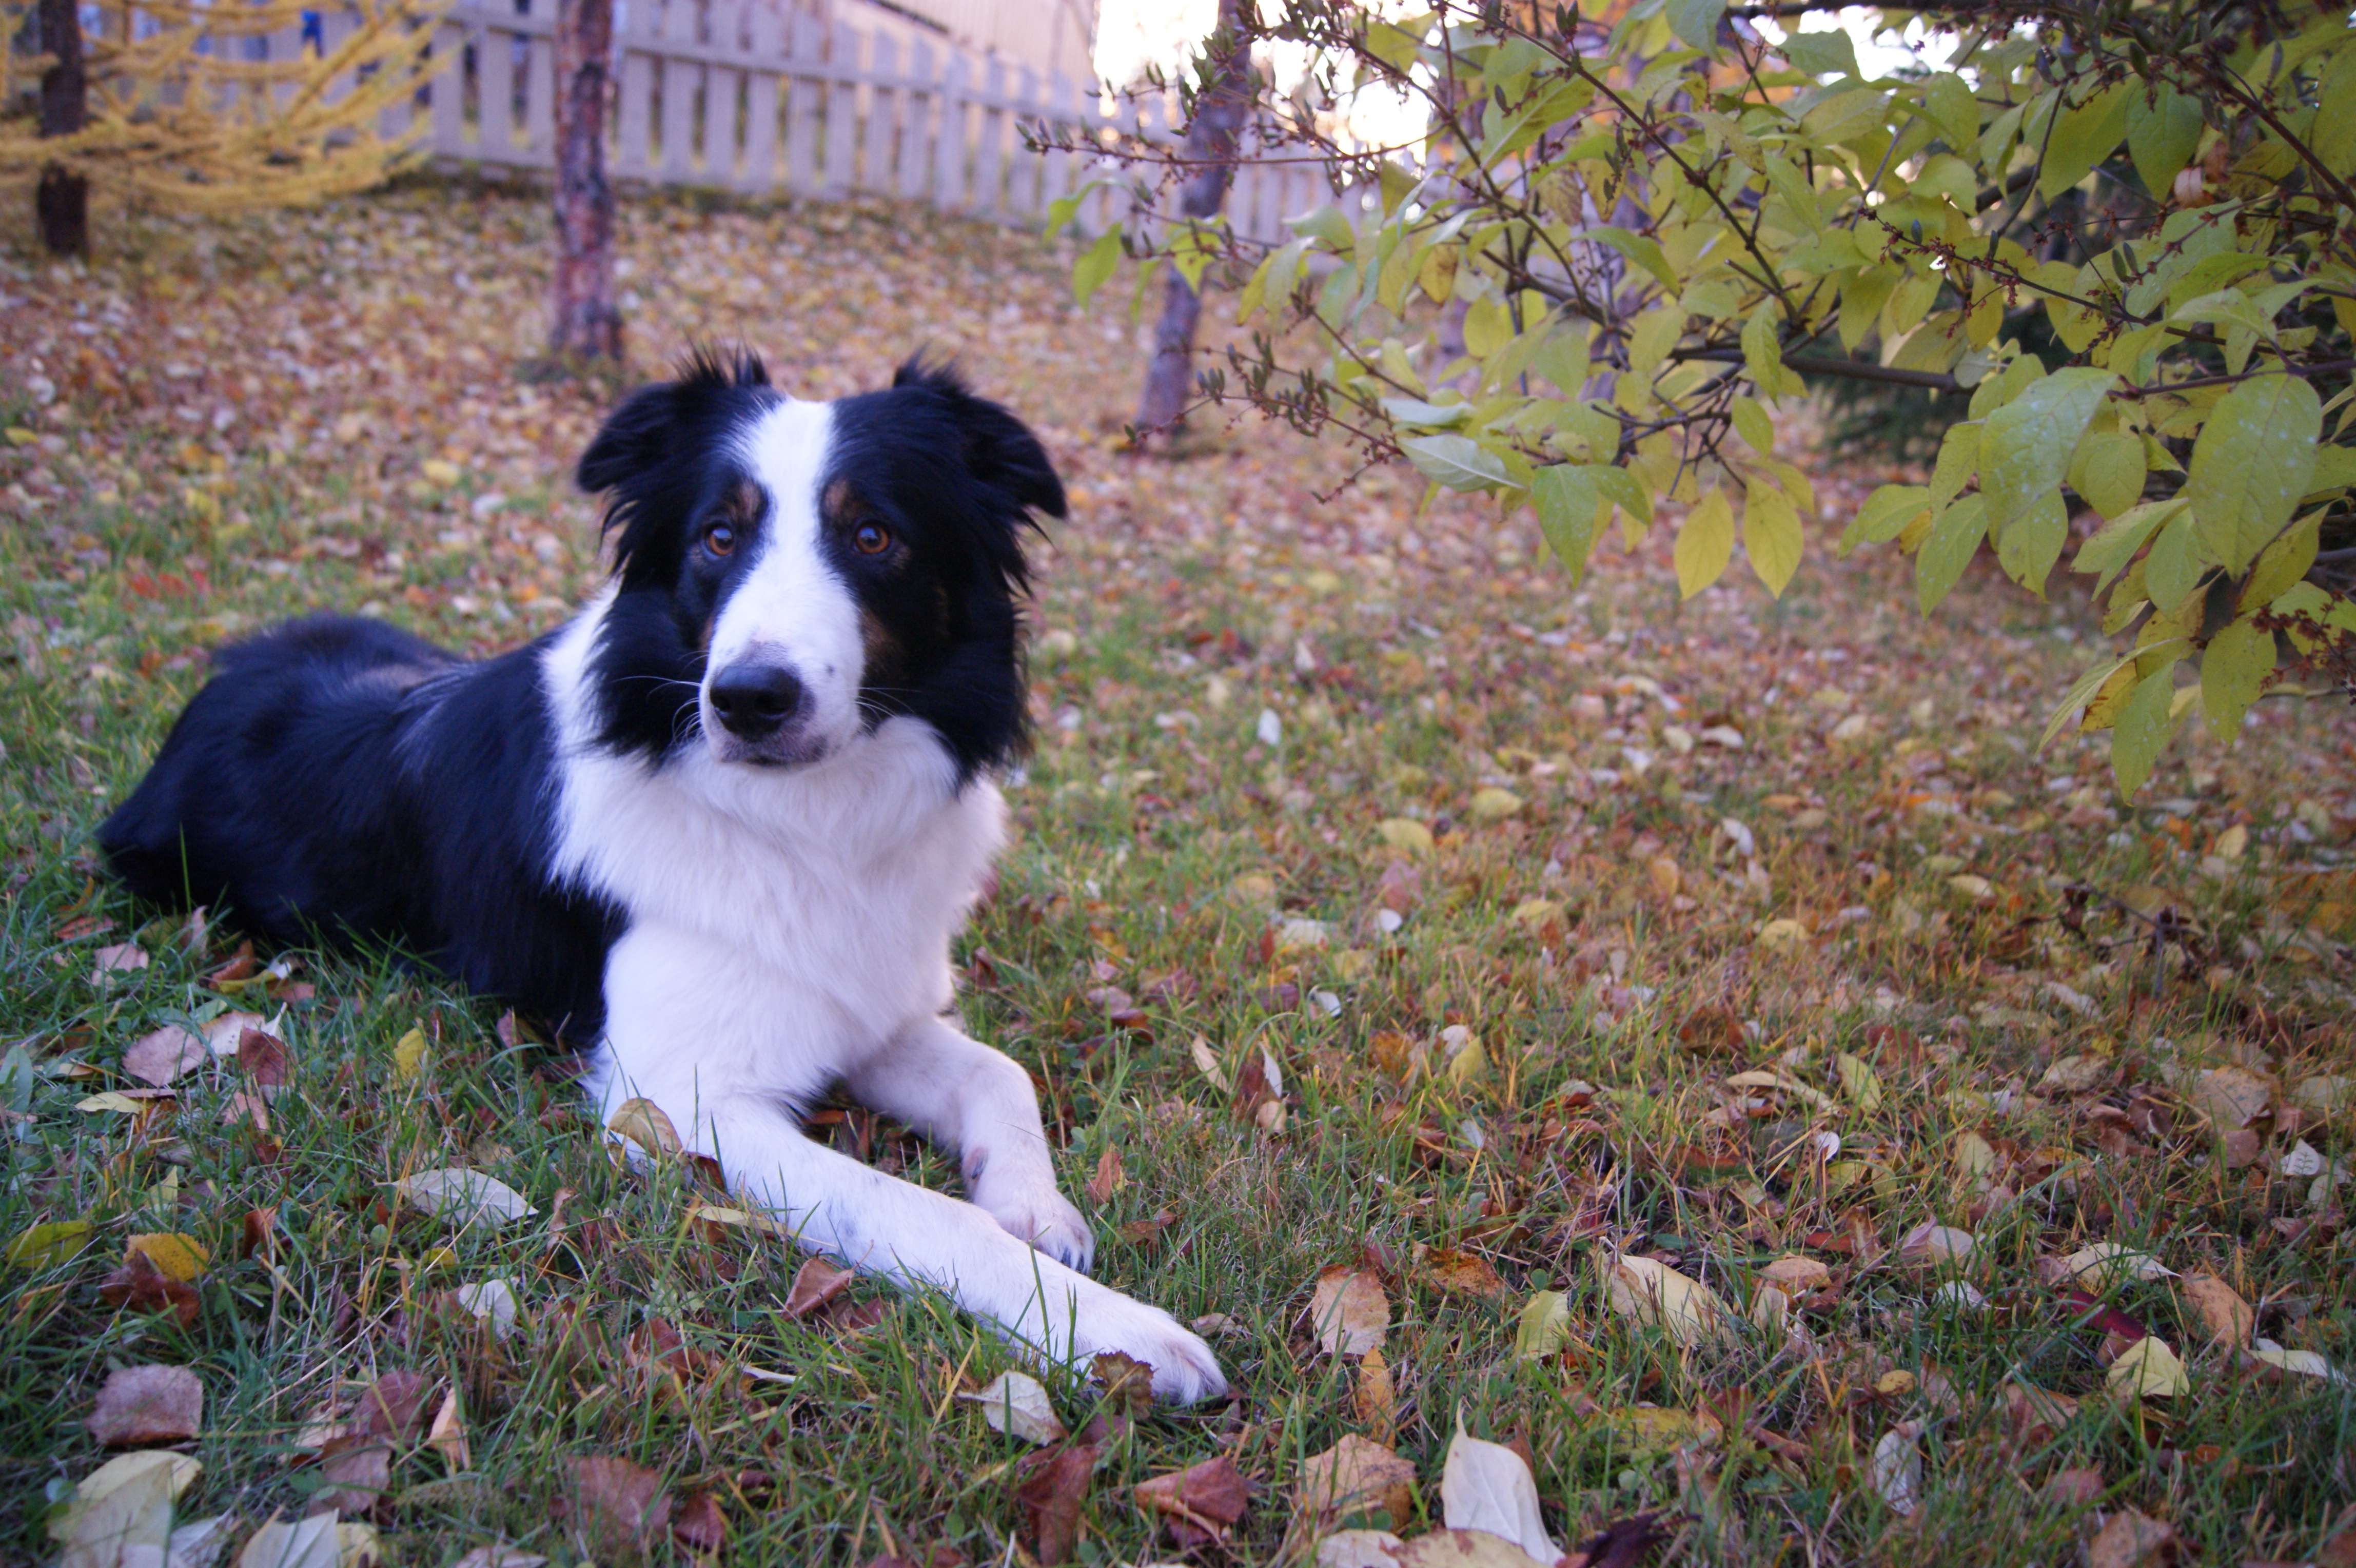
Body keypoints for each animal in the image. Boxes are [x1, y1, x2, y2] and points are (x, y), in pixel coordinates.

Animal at [101, 358, 1225, 1403]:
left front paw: (1034, 1205)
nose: (749, 700)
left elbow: (1002, 1071)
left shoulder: (863, 1002)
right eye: (717, 539)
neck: (801, 823)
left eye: (873, 537)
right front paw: (1111, 1330)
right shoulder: (679, 1098)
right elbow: (917, 1207)